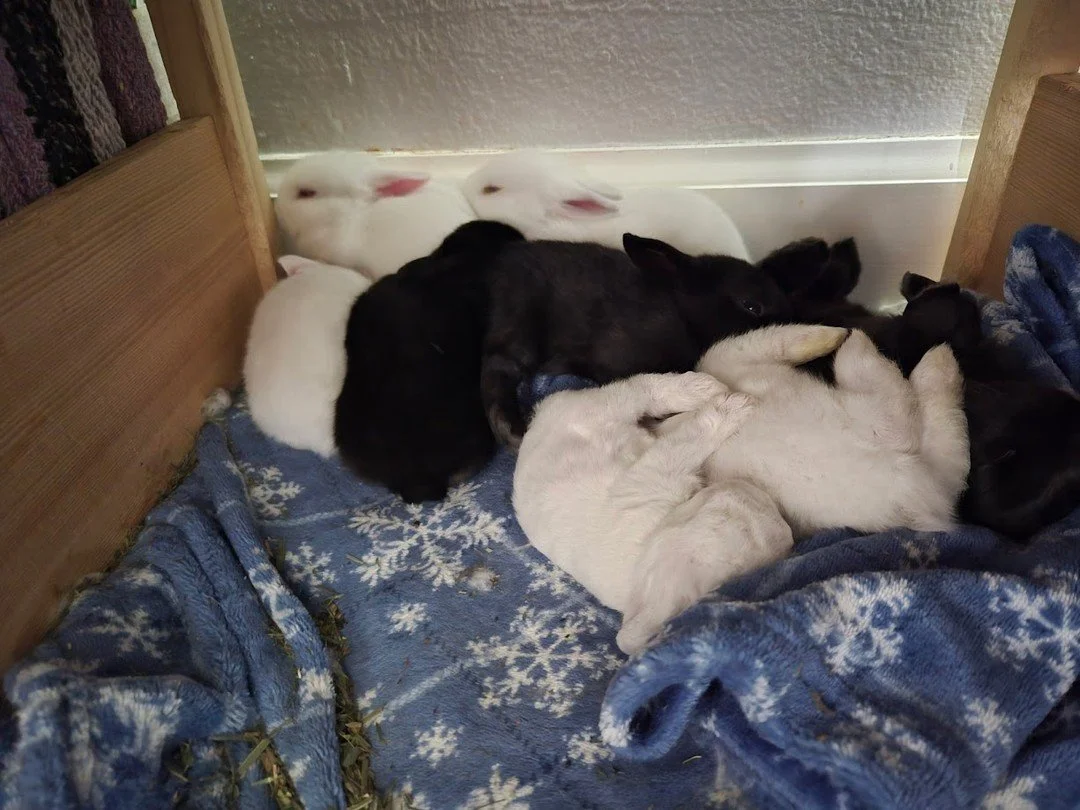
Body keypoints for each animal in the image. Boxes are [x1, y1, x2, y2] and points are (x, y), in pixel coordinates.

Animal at [512, 371, 793, 655]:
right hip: (599, 408)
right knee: (637, 391)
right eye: (728, 508)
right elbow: (687, 440)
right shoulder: (655, 472)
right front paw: (728, 412)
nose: (787, 528)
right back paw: (715, 395)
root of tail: (534, 425)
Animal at [697, 324, 970, 537]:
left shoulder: (732, 360)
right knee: (899, 403)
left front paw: (830, 335)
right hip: (870, 415)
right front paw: (834, 336)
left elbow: (767, 341)